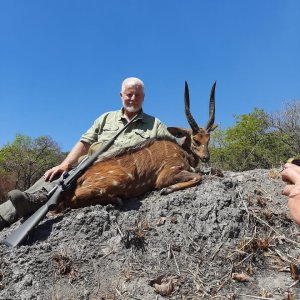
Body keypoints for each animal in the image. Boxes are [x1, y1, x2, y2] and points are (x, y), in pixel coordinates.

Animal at [64, 82, 217, 209]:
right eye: (195, 140)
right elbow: (198, 177)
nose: (206, 157)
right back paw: (116, 200)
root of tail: (79, 179)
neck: (181, 150)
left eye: (208, 139)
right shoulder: (167, 174)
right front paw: (166, 190)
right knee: (74, 198)